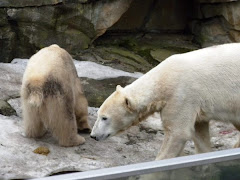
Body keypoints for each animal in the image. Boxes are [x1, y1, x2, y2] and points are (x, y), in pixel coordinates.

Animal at [90, 43, 240, 160]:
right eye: (98, 115)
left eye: (104, 117)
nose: (93, 135)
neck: (163, 79)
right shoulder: (196, 105)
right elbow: (199, 130)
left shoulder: (181, 96)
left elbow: (178, 132)